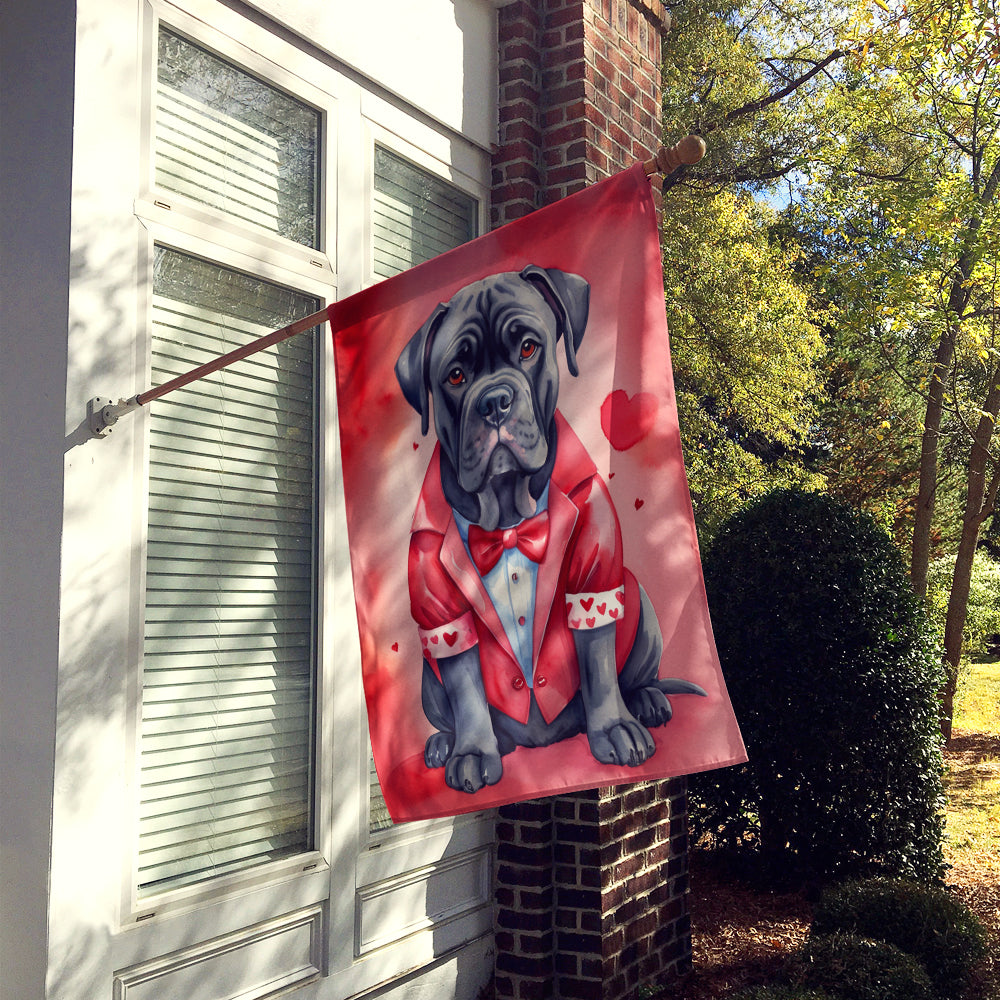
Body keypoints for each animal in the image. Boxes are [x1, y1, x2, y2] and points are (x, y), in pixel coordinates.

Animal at [394, 268, 708, 796]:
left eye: (528, 348)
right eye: (455, 376)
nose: (495, 401)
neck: (507, 519)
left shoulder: (594, 573)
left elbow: (597, 662)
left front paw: (615, 730)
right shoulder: (441, 607)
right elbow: (466, 684)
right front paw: (473, 752)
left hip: (641, 607)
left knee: (633, 675)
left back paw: (646, 702)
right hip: (425, 674)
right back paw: (444, 744)